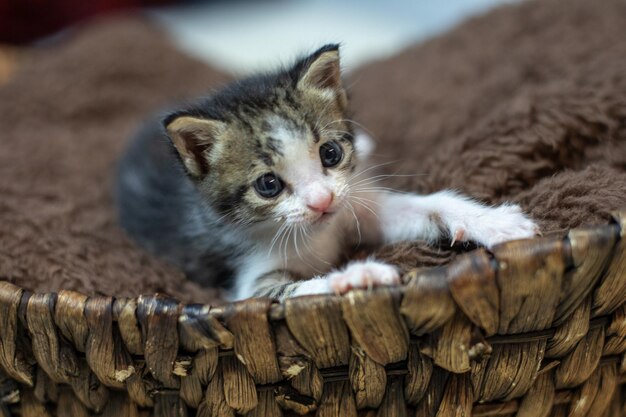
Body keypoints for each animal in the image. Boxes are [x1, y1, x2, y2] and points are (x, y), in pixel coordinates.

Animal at [116, 44, 536, 300]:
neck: (314, 234)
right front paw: (354, 278)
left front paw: (494, 223)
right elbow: (290, 293)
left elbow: (429, 204)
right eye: (268, 184)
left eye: (330, 153)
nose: (322, 201)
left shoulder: (353, 207)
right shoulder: (246, 281)